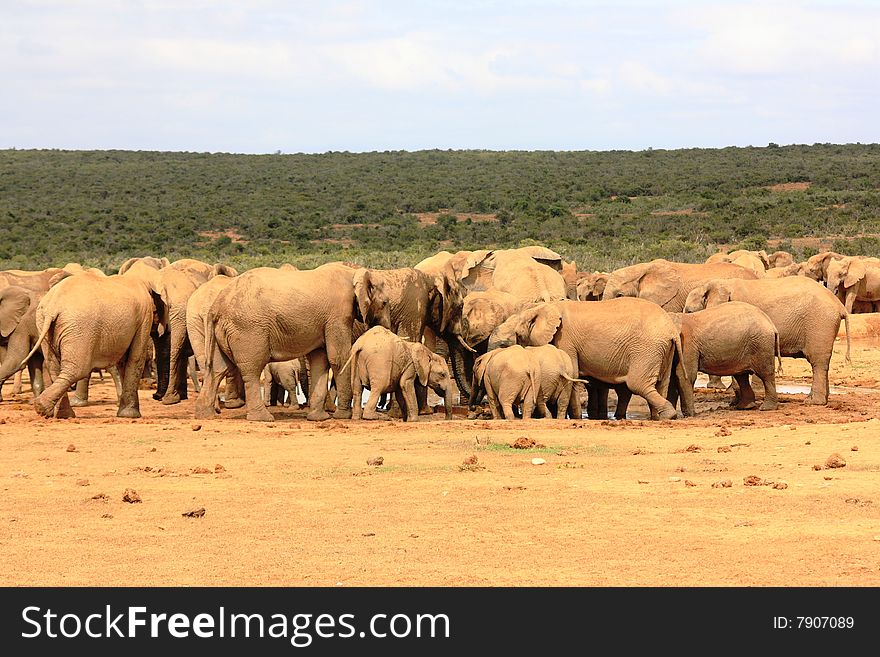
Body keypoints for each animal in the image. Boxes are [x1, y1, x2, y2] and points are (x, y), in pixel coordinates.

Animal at [23, 270, 165, 418]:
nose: (155, 396)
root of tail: (52, 307)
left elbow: (122, 362)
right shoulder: (144, 317)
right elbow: (135, 358)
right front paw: (130, 415)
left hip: (46, 325)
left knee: (55, 369)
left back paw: (60, 414)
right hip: (79, 327)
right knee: (77, 369)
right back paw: (43, 407)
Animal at [197, 260, 382, 420]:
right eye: (385, 303)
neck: (353, 272)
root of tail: (215, 307)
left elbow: (320, 360)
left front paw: (319, 418)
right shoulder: (338, 315)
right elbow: (338, 358)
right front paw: (343, 416)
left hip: (224, 331)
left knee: (218, 368)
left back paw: (206, 414)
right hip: (247, 329)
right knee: (251, 369)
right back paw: (263, 418)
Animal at [488, 298, 696, 420]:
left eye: (518, 334)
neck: (547, 306)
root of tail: (671, 330)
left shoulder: (565, 339)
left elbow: (572, 371)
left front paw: (575, 418)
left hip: (646, 348)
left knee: (638, 383)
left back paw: (668, 415)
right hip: (663, 349)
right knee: (661, 383)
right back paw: (659, 418)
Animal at [684, 274, 848, 402]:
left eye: (690, 311)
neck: (720, 283)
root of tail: (840, 306)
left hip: (819, 324)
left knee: (817, 362)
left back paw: (813, 402)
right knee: (823, 362)